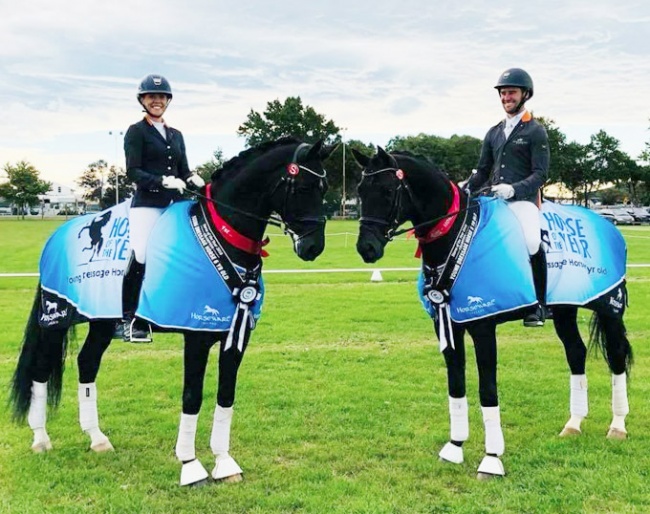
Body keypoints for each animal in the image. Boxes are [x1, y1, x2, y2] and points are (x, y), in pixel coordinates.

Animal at [10, 136, 334, 484]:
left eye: (324, 187)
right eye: (302, 187)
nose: (313, 247)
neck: (219, 237)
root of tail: (57, 236)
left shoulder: (235, 336)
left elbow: (226, 395)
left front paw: (224, 463)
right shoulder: (196, 335)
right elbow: (192, 396)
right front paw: (190, 466)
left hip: (102, 321)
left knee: (87, 363)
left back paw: (97, 439)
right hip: (54, 319)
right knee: (40, 371)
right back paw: (41, 439)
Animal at [352, 146, 632, 478]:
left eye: (386, 190)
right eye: (360, 190)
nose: (367, 248)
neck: (460, 234)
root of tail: (608, 225)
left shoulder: (482, 327)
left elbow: (487, 389)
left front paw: (491, 459)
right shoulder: (448, 325)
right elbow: (456, 385)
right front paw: (454, 447)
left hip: (609, 307)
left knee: (616, 358)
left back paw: (617, 426)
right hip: (564, 311)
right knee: (576, 353)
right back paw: (573, 424)